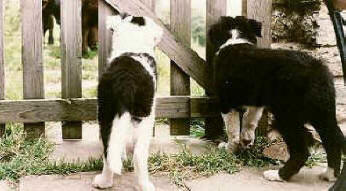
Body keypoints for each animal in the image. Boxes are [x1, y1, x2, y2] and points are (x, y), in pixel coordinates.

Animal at [91, 14, 163, 190]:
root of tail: (126, 79)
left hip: (105, 112)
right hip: (145, 116)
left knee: (108, 150)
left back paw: (104, 182)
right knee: (139, 154)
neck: (133, 42)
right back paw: (145, 185)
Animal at [208, 16, 346, 184]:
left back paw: (278, 175)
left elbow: (232, 130)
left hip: (286, 115)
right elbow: (250, 120)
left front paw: (228, 149)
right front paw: (246, 139)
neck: (235, 39)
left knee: (301, 151)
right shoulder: (257, 103)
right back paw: (330, 174)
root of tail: (315, 70)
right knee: (334, 140)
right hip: (322, 113)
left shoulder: (226, 102)